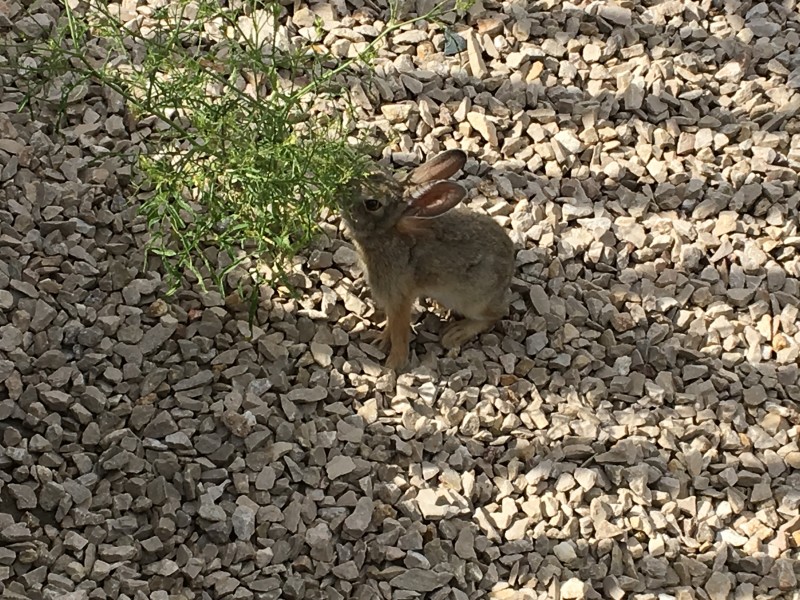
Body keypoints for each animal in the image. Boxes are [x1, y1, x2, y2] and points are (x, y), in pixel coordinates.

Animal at [341, 149, 514, 370]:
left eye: (372, 204)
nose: (340, 190)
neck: (387, 234)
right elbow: (391, 324)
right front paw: (380, 340)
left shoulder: (398, 297)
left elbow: (399, 329)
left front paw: (393, 364)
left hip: (474, 300)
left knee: (496, 314)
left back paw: (455, 333)